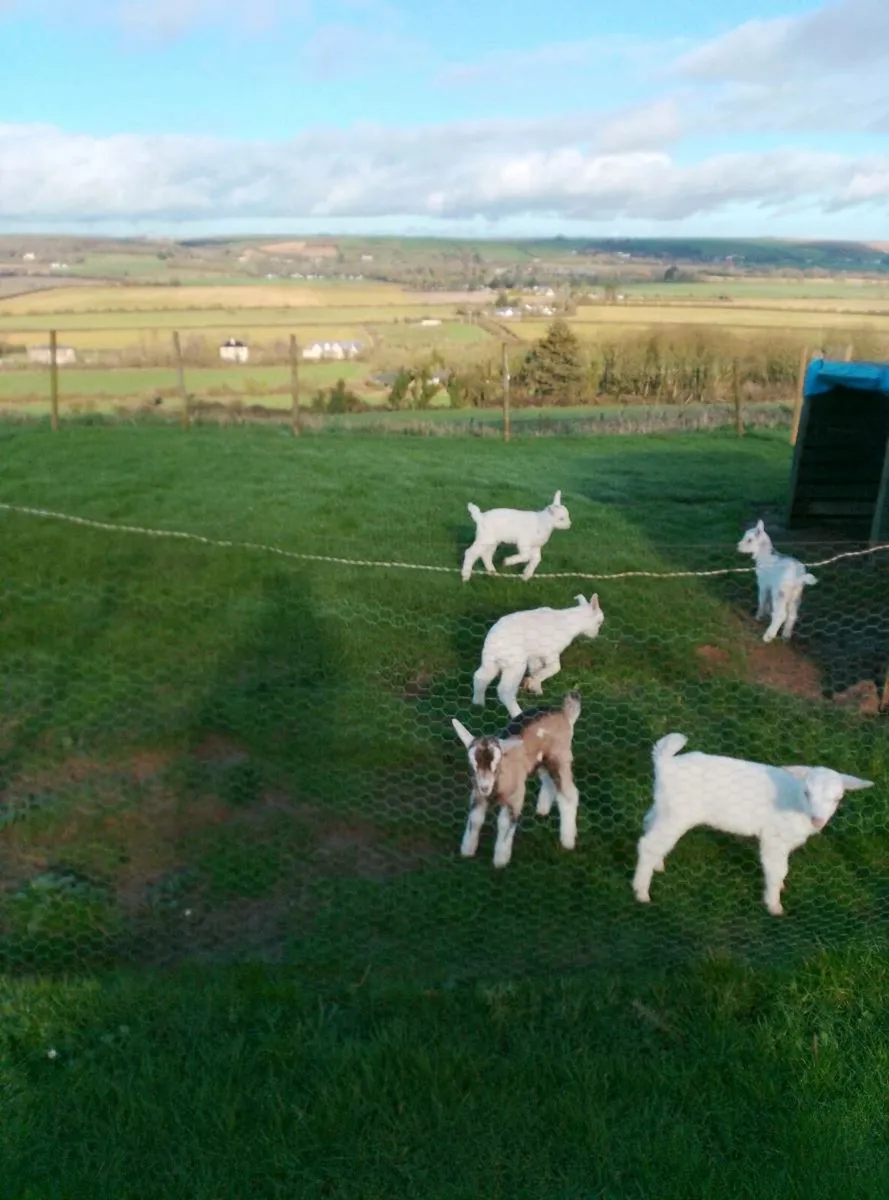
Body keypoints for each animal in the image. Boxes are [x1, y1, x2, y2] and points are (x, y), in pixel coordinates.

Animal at [452, 691, 582, 868]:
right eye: (472, 764)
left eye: (497, 763)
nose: (485, 787)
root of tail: (564, 713)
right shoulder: (477, 795)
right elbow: (476, 819)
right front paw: (467, 851)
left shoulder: (515, 797)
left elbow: (504, 823)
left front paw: (500, 861)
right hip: (541, 760)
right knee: (548, 780)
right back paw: (542, 810)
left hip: (560, 757)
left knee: (569, 794)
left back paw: (567, 841)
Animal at [472, 594, 604, 717]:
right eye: (599, 622)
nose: (595, 635)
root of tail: (493, 644)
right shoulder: (551, 652)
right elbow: (554, 668)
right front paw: (533, 683)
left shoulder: (534, 655)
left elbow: (536, 669)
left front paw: (536, 688)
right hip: (515, 665)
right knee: (505, 691)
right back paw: (517, 713)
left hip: (490, 663)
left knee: (480, 677)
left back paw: (478, 704)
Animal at [633, 732, 873, 915]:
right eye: (807, 792)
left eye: (838, 798)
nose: (817, 820)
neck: (796, 802)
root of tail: (665, 763)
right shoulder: (775, 837)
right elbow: (777, 869)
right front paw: (774, 905)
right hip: (678, 813)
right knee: (648, 844)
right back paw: (641, 892)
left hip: (665, 806)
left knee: (649, 824)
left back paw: (657, 865)